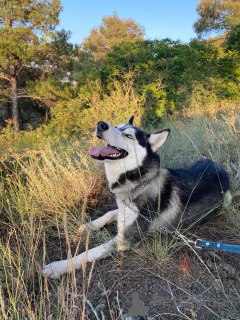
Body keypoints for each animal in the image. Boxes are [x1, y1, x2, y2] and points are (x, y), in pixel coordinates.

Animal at [43, 116, 231, 278]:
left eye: (128, 136)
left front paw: (59, 266)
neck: (141, 183)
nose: (101, 124)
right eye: (117, 126)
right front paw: (88, 226)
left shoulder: (124, 239)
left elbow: (92, 251)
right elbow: (109, 214)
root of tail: (218, 166)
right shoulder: (123, 208)